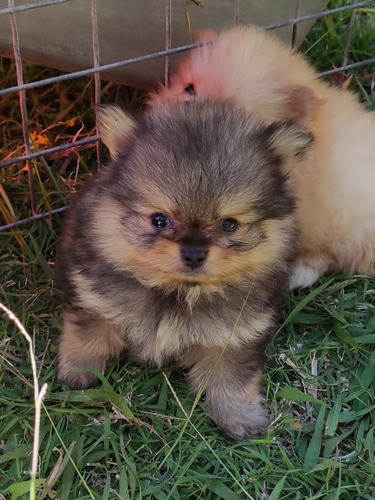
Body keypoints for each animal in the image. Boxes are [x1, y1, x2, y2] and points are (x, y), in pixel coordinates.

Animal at [56, 99, 314, 440]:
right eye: (159, 220)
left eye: (229, 224)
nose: (193, 254)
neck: (177, 291)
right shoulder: (94, 299)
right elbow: (86, 336)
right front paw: (77, 373)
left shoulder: (236, 333)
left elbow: (233, 378)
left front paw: (240, 417)